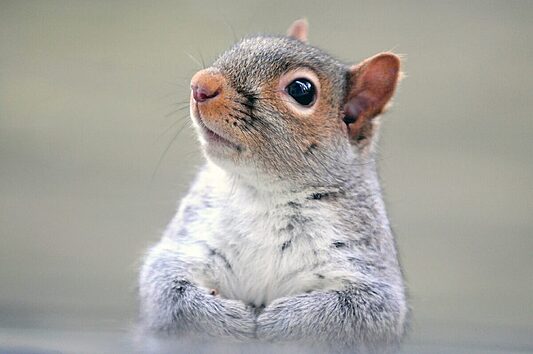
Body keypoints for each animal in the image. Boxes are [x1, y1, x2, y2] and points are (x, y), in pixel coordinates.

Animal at [138, 20, 408, 354]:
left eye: (302, 90)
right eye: (240, 46)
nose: (200, 84)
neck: (264, 193)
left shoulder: (366, 268)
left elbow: (359, 313)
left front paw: (281, 323)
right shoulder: (189, 242)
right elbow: (166, 289)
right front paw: (229, 319)